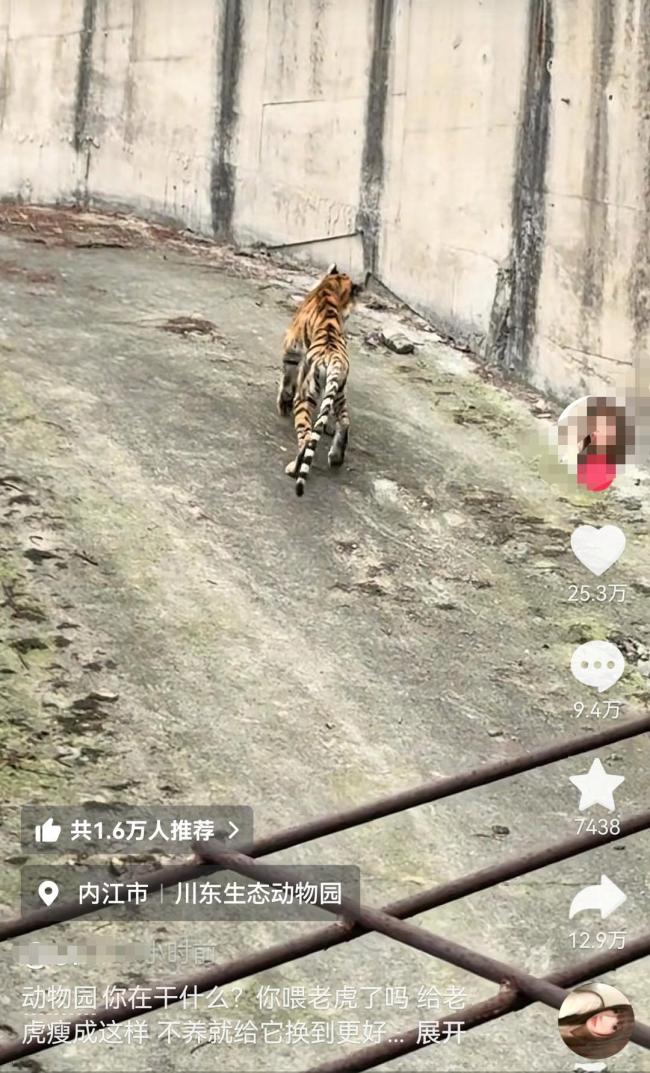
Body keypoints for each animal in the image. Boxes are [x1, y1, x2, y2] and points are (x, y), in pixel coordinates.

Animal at [277, 264, 365, 497]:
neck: (332, 286)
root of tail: (333, 359)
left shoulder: (292, 348)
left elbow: (287, 378)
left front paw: (283, 404)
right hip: (339, 389)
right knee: (345, 420)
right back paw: (336, 457)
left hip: (305, 395)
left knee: (307, 437)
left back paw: (293, 468)